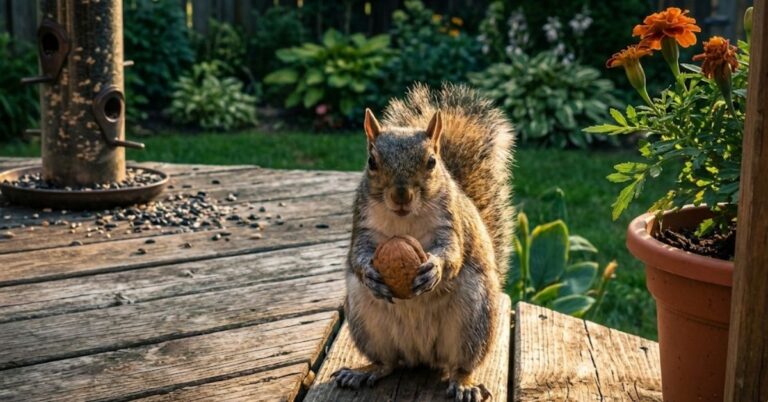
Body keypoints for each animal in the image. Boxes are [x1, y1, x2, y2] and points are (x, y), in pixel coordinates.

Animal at [333, 83, 514, 402]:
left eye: (431, 162)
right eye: (371, 161)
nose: (401, 196)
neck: (405, 218)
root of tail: (421, 354)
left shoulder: (450, 223)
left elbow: (453, 253)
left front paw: (435, 269)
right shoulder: (362, 223)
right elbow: (357, 254)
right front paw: (370, 273)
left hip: (474, 318)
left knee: (461, 364)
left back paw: (464, 384)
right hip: (366, 320)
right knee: (388, 362)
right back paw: (363, 371)